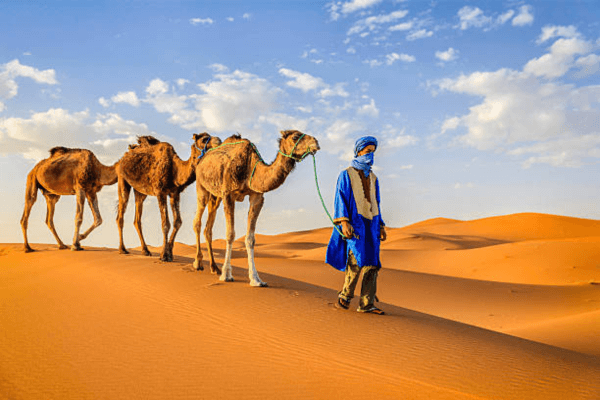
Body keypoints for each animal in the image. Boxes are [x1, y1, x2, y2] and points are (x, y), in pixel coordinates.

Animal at [116, 132, 221, 262]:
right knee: (121, 214)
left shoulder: (174, 193)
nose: (219, 140)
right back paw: (122, 249)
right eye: (204, 139)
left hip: (140, 191)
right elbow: (165, 223)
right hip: (122, 179)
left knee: (137, 219)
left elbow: (178, 222)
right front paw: (163, 255)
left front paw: (170, 253)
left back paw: (146, 250)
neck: (175, 171)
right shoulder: (160, 192)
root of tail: (124, 157)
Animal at [195, 130, 322, 286]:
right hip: (201, 187)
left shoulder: (257, 197)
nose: (315, 142)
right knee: (198, 221)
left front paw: (256, 279)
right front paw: (226, 275)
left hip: (216, 196)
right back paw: (198, 264)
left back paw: (214, 268)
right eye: (295, 136)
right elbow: (230, 234)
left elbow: (250, 239)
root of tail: (202, 159)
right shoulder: (228, 194)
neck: (249, 167)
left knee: (208, 227)